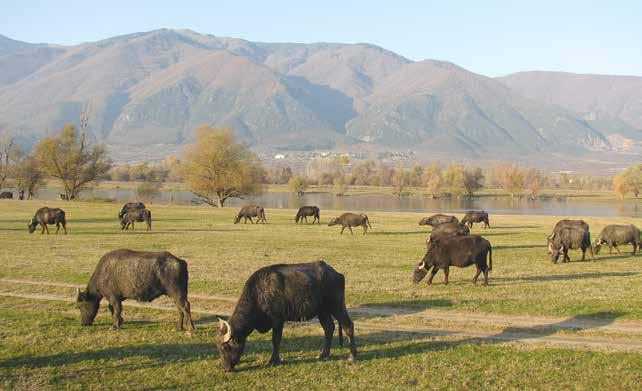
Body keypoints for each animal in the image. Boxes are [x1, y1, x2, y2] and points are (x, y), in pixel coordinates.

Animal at [215, 262, 356, 372]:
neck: (260, 293)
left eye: (225, 347)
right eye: (218, 348)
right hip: (322, 311)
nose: (226, 368)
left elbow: (275, 340)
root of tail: (336, 273)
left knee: (348, 326)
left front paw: (273, 360)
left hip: (337, 305)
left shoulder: (278, 320)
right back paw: (323, 354)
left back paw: (352, 356)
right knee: (329, 328)